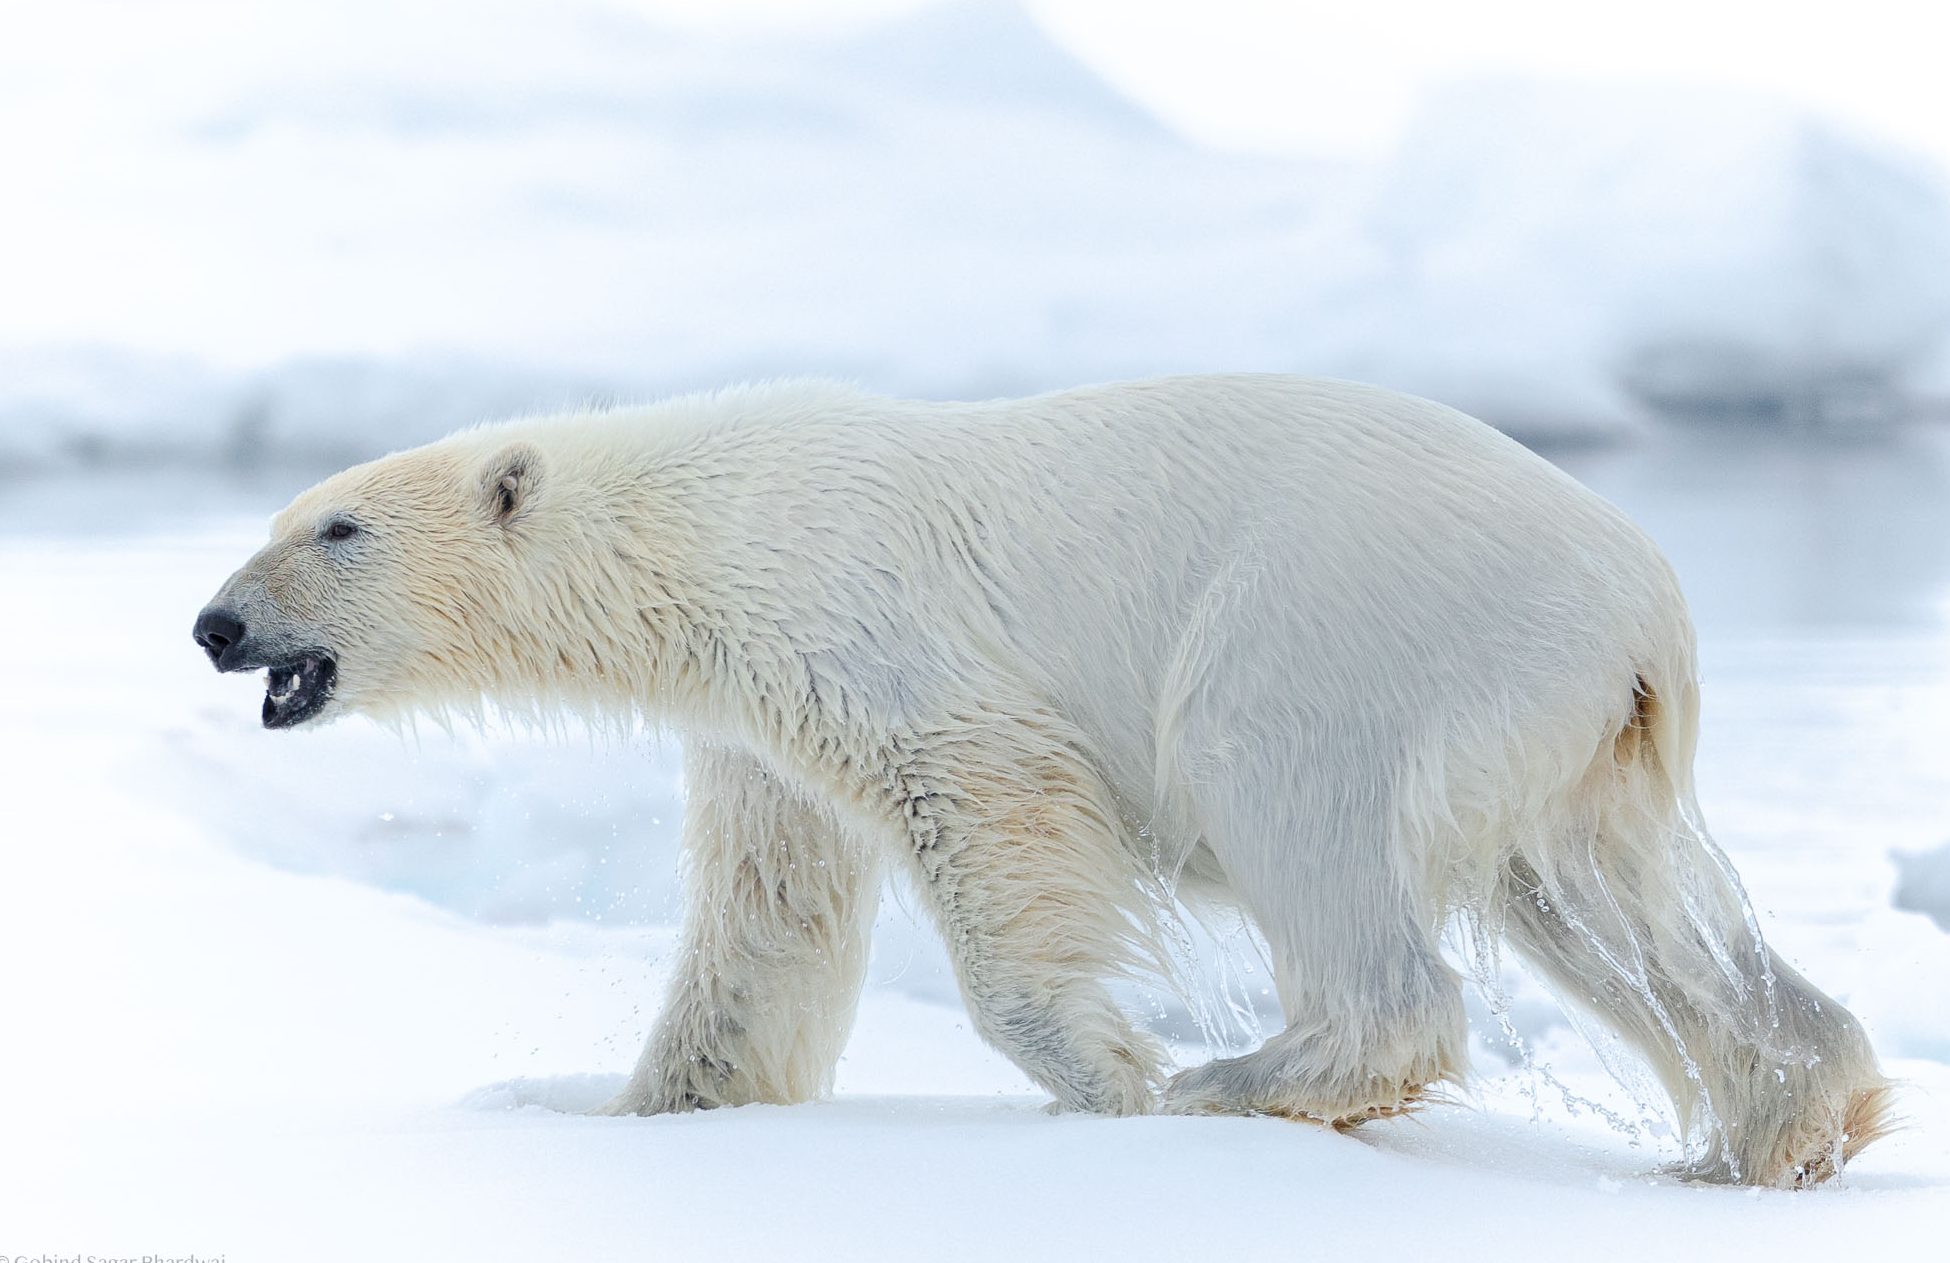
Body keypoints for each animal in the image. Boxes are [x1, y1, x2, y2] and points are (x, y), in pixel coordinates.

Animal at [193, 373, 1890, 1187]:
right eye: (281, 516)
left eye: (334, 525)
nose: (214, 623)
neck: (706, 520)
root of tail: (1645, 605)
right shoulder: (756, 719)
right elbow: (765, 917)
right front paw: (654, 1104)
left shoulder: (869, 628)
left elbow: (994, 808)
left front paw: (1114, 1075)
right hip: (1566, 731)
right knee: (1612, 913)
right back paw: (1776, 1122)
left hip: (1357, 627)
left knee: (1295, 796)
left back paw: (1246, 1079)